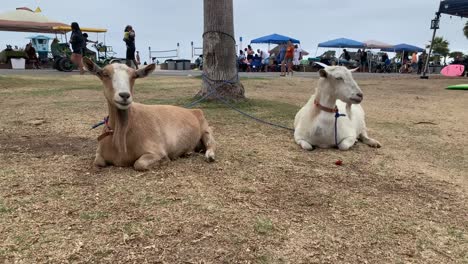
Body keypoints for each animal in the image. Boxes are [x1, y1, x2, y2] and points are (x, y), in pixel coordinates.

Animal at [82, 57, 216, 171]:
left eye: (134, 76)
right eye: (105, 74)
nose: (124, 95)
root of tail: (193, 110)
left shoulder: (156, 151)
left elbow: (139, 164)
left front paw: (164, 161)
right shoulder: (99, 153)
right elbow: (98, 161)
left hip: (205, 128)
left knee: (211, 143)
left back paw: (210, 156)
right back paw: (188, 152)